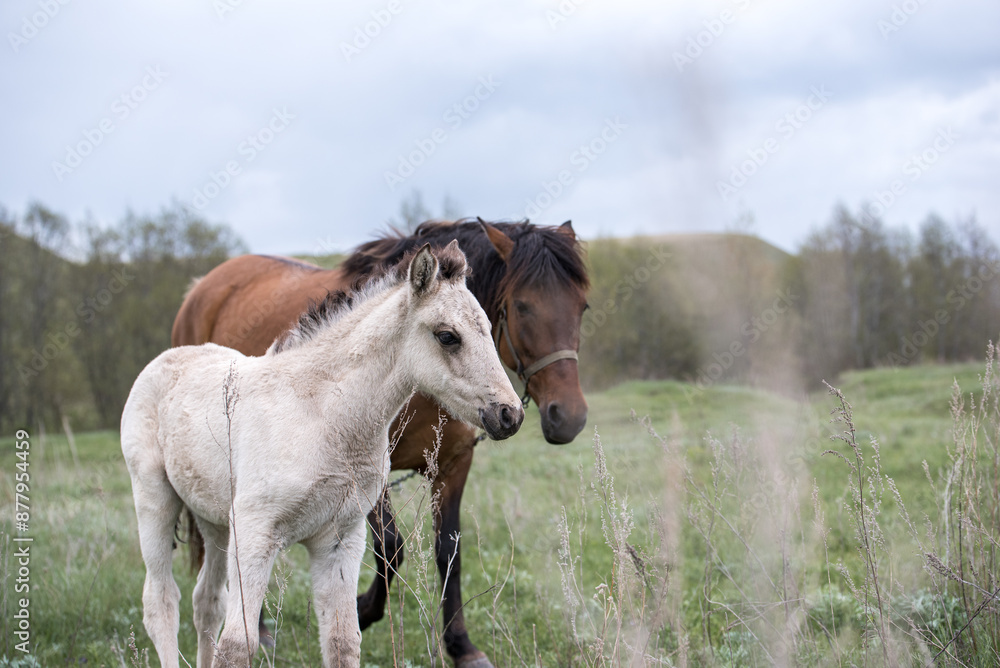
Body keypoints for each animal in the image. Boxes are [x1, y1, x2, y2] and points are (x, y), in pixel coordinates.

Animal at [171, 219, 590, 666]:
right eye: (523, 306)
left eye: (582, 307)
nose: (568, 417)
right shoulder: (369, 479)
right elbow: (391, 547)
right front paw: (362, 608)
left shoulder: (452, 466)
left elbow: (449, 551)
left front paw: (461, 645)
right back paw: (263, 628)